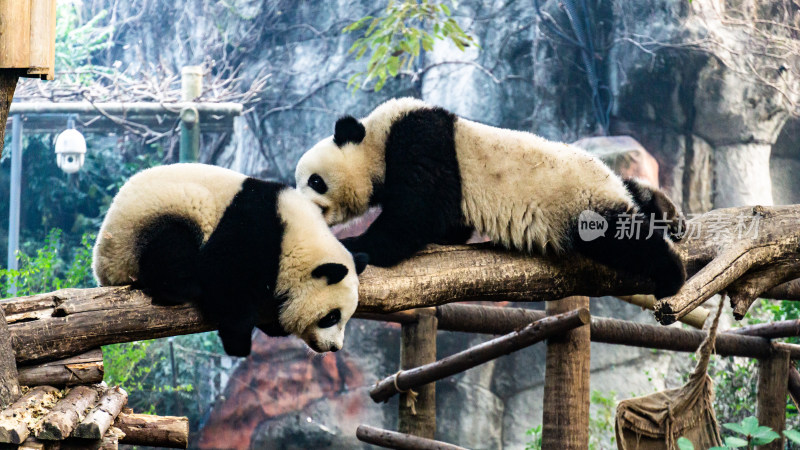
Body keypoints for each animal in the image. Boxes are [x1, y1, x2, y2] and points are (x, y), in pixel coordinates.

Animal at [92, 163, 368, 356]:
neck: (294, 237)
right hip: (148, 223)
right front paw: (239, 341)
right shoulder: (251, 229)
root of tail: (102, 270)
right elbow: (224, 281)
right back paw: (180, 289)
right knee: (171, 244)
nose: (335, 347)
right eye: (331, 317)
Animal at [294, 96, 688, 298]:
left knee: (626, 240)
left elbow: (414, 216)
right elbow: (446, 226)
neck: (377, 135)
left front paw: (354, 245)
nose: (303, 211)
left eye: (315, 181)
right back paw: (664, 210)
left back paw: (671, 273)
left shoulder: (422, 141)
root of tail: (612, 186)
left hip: (582, 202)